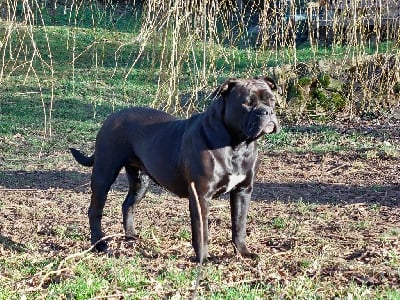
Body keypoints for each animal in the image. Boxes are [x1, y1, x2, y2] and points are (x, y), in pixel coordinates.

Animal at [70, 75, 278, 262]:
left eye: (272, 100)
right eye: (247, 103)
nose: (267, 112)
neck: (238, 145)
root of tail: (112, 117)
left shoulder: (243, 191)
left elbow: (239, 225)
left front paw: (243, 252)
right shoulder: (201, 195)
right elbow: (201, 231)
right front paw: (203, 259)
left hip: (140, 181)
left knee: (127, 204)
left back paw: (131, 237)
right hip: (104, 174)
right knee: (95, 210)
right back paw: (99, 244)